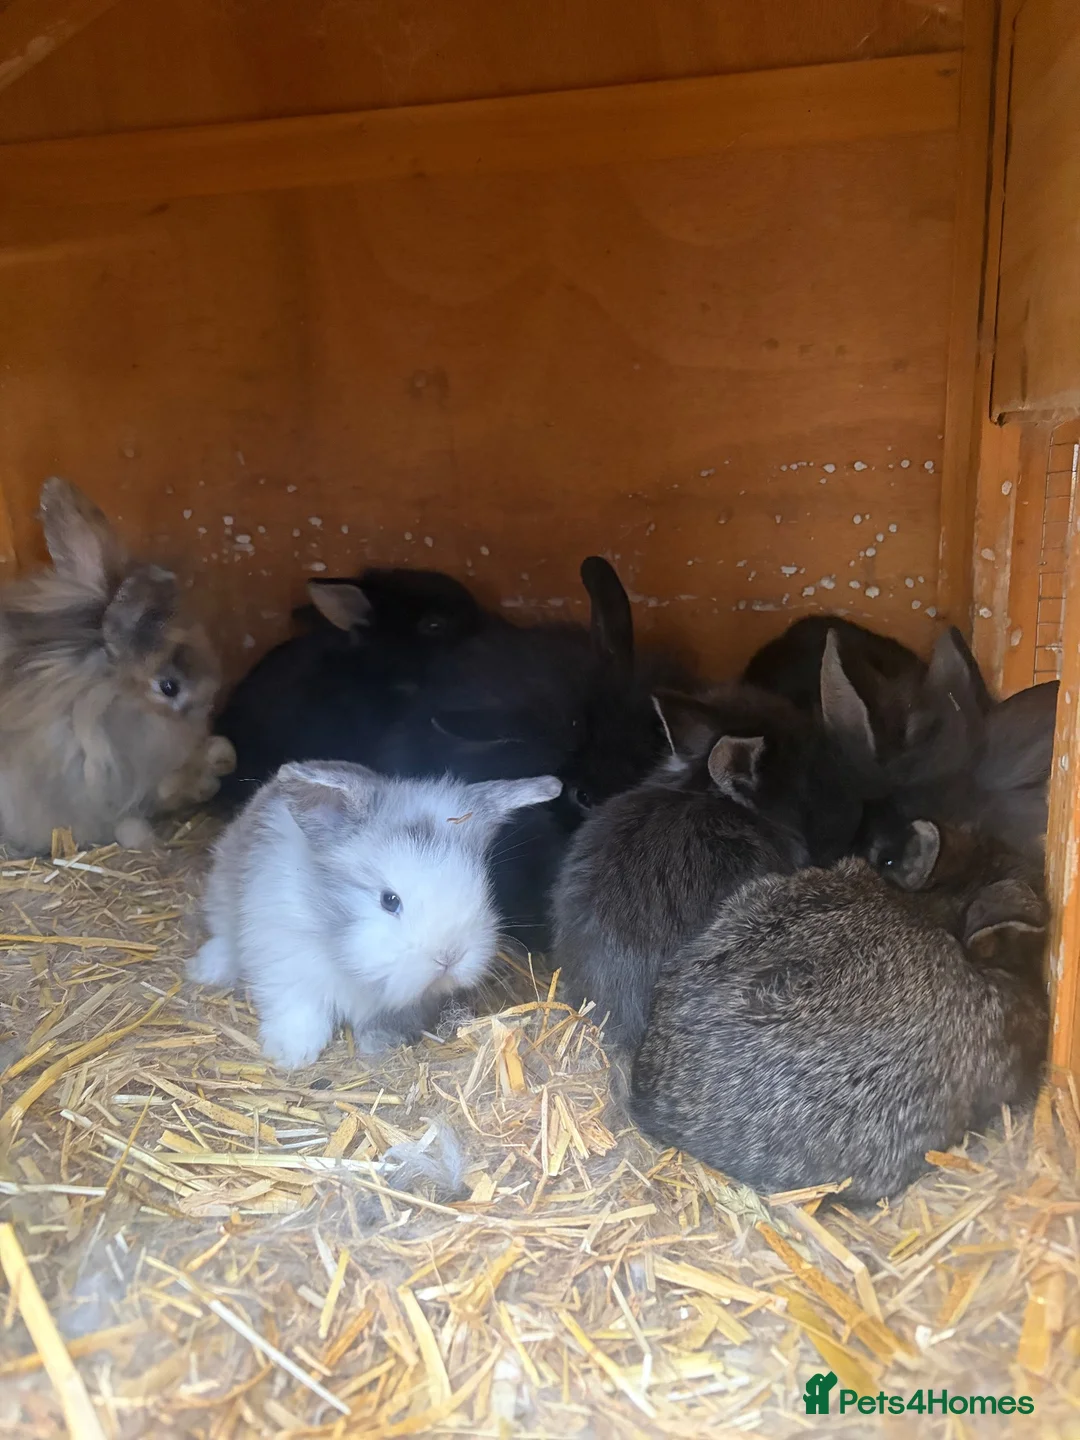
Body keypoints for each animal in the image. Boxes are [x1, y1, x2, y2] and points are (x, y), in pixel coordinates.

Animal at [189, 759, 561, 1067]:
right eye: (389, 900)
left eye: (482, 888)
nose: (449, 957)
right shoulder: (287, 964)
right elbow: (298, 1010)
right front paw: (290, 1055)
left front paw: (380, 1043)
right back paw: (206, 970)